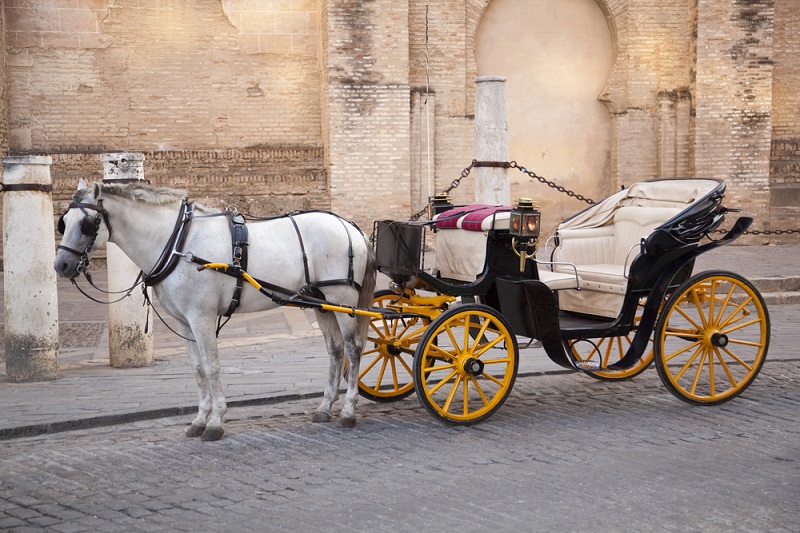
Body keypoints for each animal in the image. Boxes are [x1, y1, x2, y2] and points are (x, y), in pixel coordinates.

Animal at [54, 181, 376, 438]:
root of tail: (350, 226)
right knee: (335, 350)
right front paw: (199, 419)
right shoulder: (184, 322)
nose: (61, 265)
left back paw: (348, 411)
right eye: (63, 222)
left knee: (353, 348)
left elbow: (211, 366)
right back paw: (325, 406)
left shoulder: (202, 317)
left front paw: (216, 421)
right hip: (321, 303)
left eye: (86, 224)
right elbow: (197, 368)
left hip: (343, 299)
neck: (178, 243)